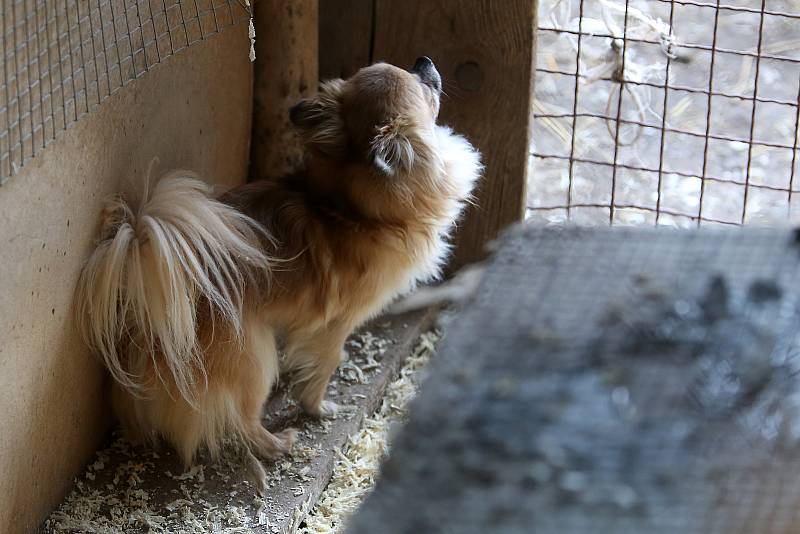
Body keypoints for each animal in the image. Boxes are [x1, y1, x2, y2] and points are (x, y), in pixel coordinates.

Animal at [76, 56, 482, 488]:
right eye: (423, 86)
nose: (425, 62)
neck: (352, 211)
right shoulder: (337, 324)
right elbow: (326, 363)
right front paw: (318, 407)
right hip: (255, 355)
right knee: (242, 418)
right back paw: (275, 444)